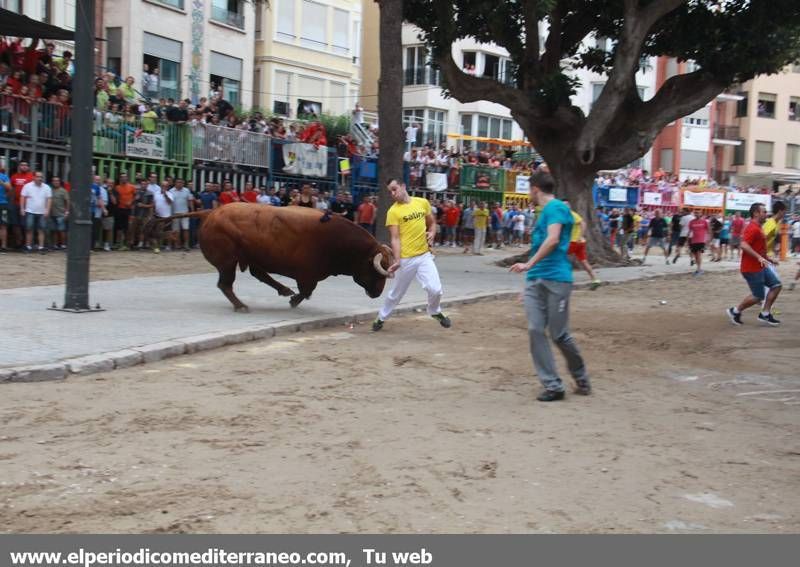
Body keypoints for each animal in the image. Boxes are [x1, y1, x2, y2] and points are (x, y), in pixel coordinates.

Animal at [151, 203, 394, 310]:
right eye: (376, 271)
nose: (377, 293)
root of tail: (210, 212)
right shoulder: (308, 275)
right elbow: (307, 291)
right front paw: (293, 301)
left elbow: (306, 291)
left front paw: (291, 297)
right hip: (228, 262)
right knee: (225, 284)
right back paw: (242, 306)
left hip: (247, 258)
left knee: (257, 274)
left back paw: (283, 290)